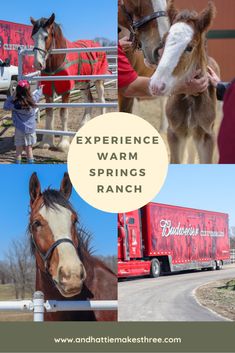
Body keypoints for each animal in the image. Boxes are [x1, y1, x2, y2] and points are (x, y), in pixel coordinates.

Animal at [29, 13, 109, 151]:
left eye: (46, 36)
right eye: (33, 37)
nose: (37, 64)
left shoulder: (66, 90)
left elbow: (63, 113)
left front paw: (63, 143)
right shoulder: (48, 91)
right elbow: (49, 113)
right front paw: (47, 142)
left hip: (99, 80)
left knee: (101, 101)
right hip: (83, 84)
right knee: (89, 100)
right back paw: (82, 126)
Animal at [150, 0, 219, 164]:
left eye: (190, 47)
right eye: (163, 42)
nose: (156, 86)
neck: (191, 99)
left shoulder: (207, 135)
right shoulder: (175, 132)